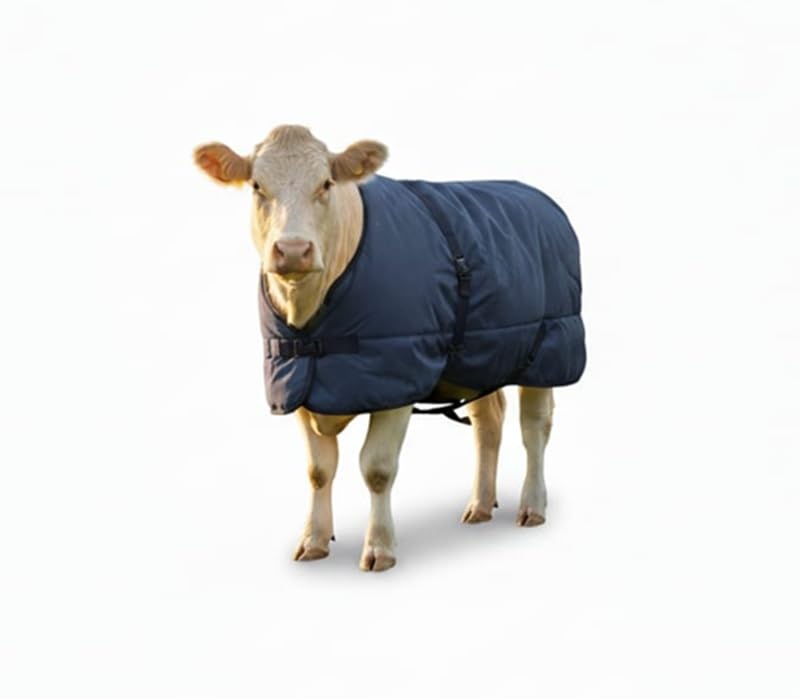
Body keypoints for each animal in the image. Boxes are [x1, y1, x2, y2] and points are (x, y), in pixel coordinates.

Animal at [193, 124, 584, 571]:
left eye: (325, 184)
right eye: (257, 186)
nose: (292, 250)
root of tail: (535, 195)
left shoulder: (397, 379)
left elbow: (377, 468)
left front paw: (379, 547)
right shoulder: (297, 384)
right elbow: (318, 470)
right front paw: (314, 540)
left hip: (550, 349)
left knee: (534, 428)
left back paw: (532, 505)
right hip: (482, 357)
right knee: (488, 424)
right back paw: (481, 505)